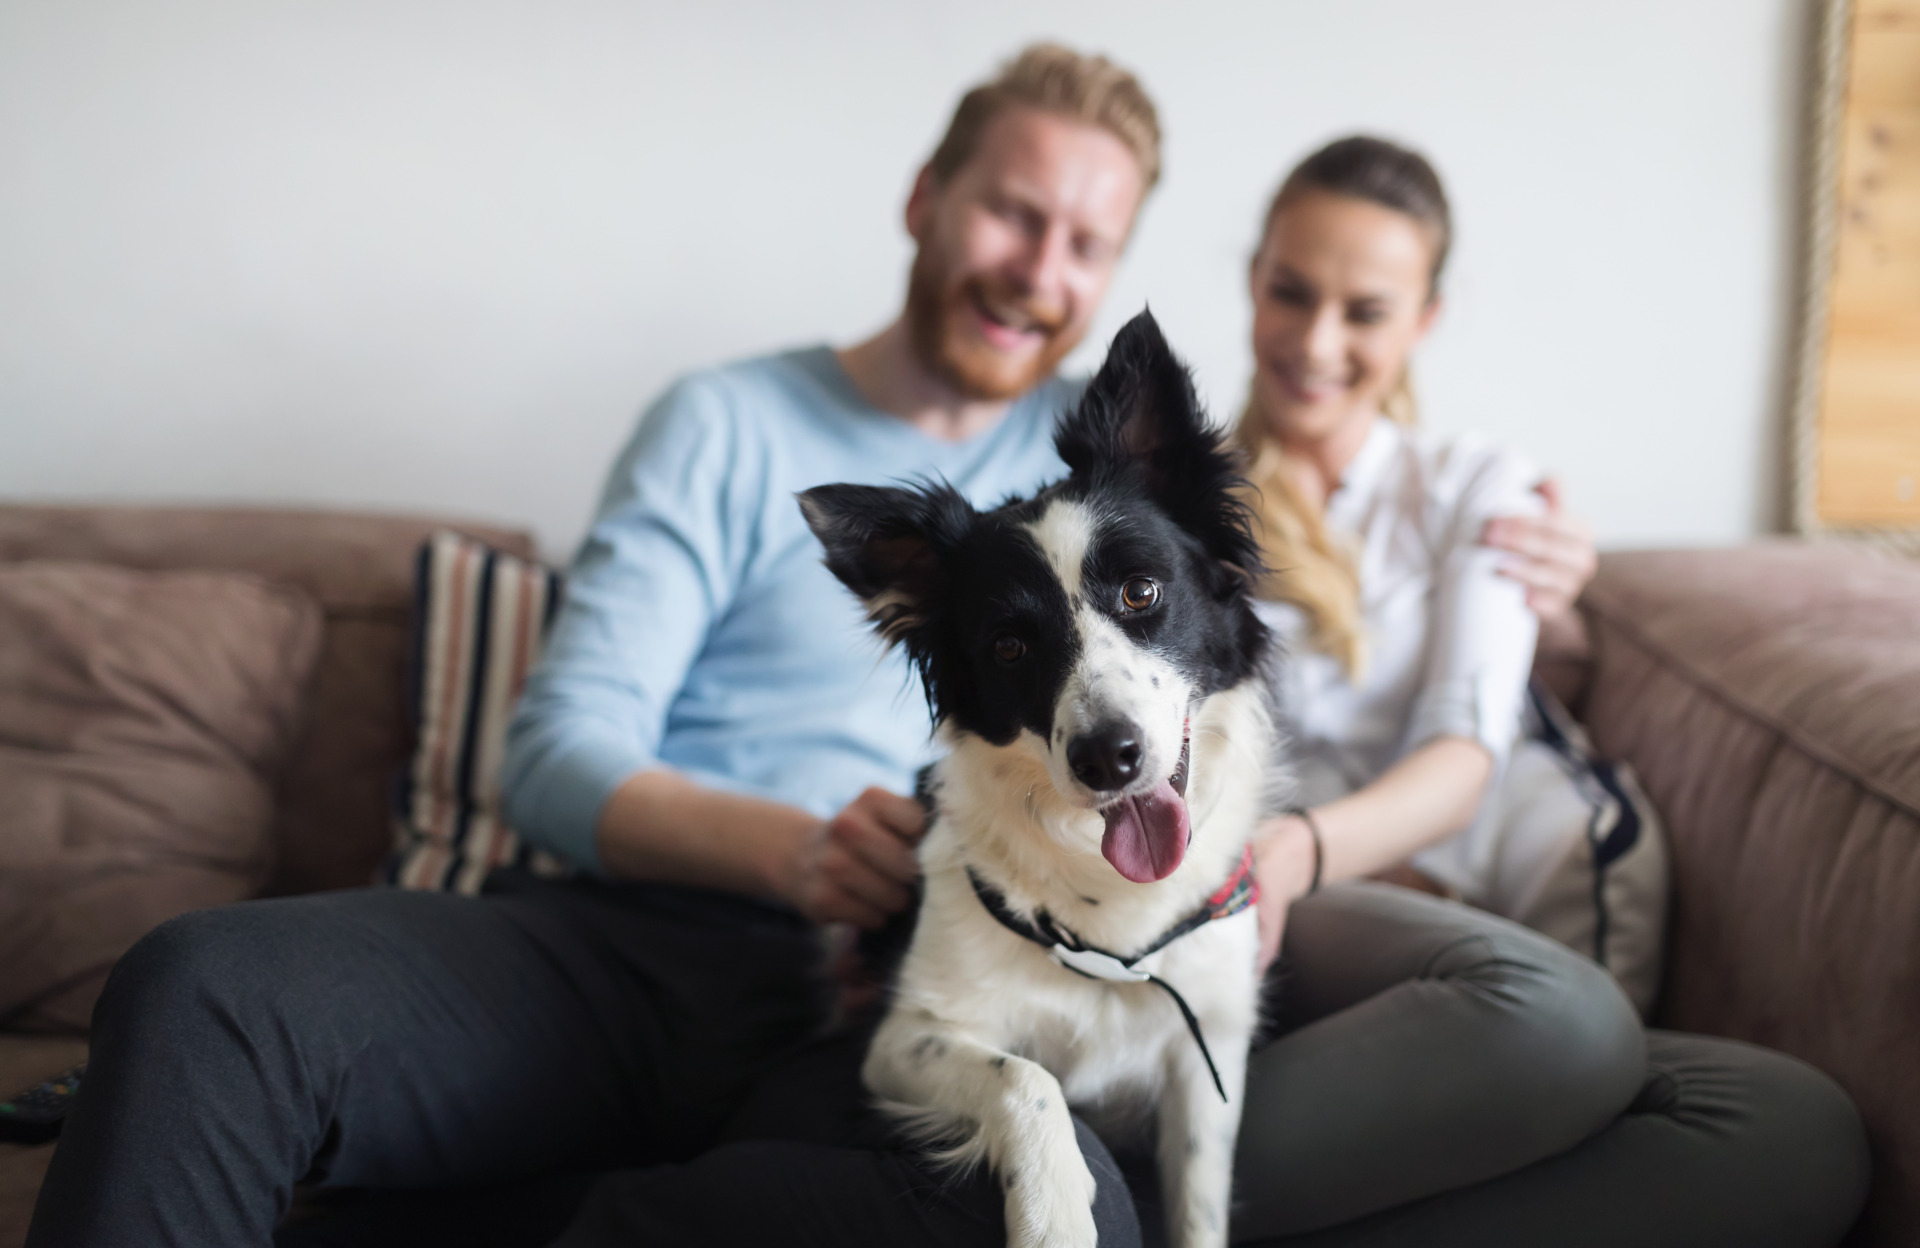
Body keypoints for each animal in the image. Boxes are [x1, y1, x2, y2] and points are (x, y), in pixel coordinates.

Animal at [802, 311, 1282, 1244]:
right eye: (1009, 648)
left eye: (1141, 592)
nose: (1108, 757)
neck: (1112, 918)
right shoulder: (904, 1039)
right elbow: (1030, 1079)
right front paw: (1055, 1213)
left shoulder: (1206, 1054)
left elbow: (1200, 1203)